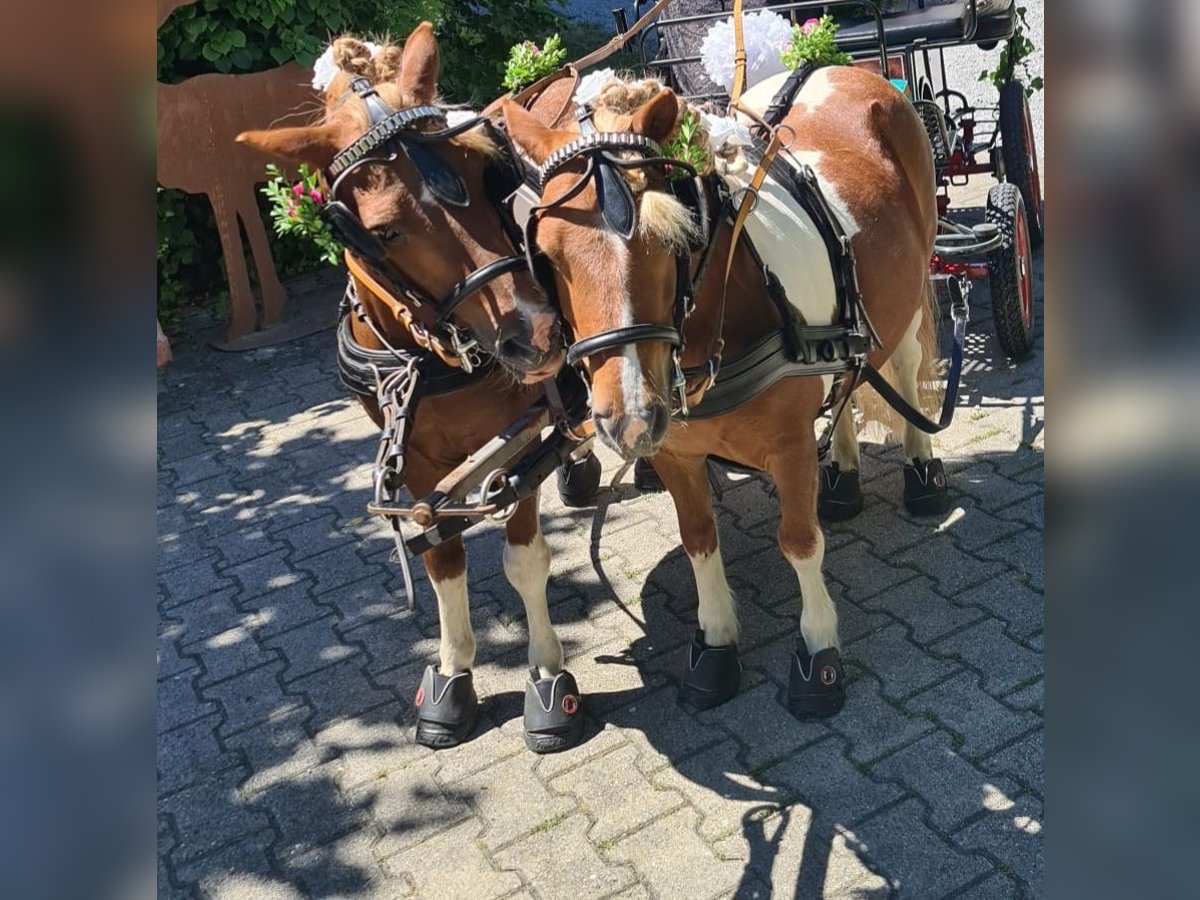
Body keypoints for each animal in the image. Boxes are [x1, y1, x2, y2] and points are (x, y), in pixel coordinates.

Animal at [236, 22, 583, 753]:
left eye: (486, 174)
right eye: (384, 230)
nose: (537, 333)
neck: (436, 356)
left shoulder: (522, 439)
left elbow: (523, 558)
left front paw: (546, 675)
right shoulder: (420, 456)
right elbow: (442, 559)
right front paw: (453, 676)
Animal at [501, 65, 940, 720]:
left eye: (672, 241)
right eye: (548, 254)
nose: (629, 419)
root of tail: (839, 68)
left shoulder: (788, 445)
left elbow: (799, 542)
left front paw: (818, 651)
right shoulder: (676, 453)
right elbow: (699, 541)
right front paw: (715, 644)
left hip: (908, 296)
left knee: (906, 371)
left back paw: (921, 471)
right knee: (848, 378)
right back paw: (841, 474)